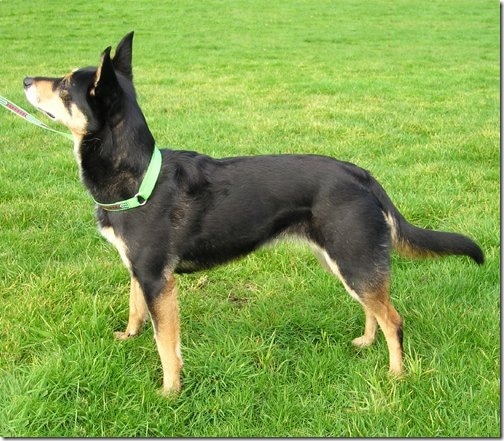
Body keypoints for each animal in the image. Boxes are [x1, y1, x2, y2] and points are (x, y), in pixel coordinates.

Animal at [22, 32, 484, 394]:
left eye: (65, 86)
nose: (25, 79)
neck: (136, 176)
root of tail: (362, 175)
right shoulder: (140, 272)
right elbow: (136, 311)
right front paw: (127, 337)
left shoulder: (158, 280)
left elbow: (166, 346)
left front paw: (170, 393)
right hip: (343, 260)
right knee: (374, 309)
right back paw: (366, 344)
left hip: (353, 258)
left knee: (393, 318)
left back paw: (396, 375)